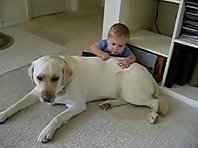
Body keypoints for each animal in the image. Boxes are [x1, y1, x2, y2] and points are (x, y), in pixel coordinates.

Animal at [0, 53, 167, 142]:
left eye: (55, 78)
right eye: (39, 77)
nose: (46, 98)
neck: (61, 89)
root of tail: (148, 73)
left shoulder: (77, 105)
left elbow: (57, 117)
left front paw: (47, 131)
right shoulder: (36, 92)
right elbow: (17, 103)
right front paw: (3, 113)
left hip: (132, 92)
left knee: (155, 101)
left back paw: (152, 114)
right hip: (126, 92)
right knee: (125, 101)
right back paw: (107, 103)